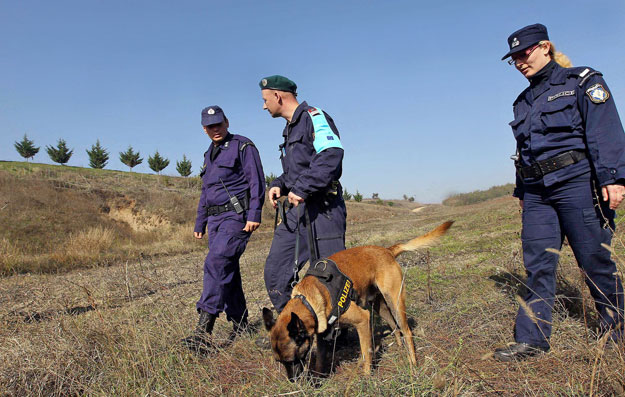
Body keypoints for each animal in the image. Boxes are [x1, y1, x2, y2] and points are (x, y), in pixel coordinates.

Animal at [260, 221, 450, 378]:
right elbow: (321, 359)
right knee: (395, 327)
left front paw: (366, 377)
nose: (293, 381)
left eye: (292, 359)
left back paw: (413, 362)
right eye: (280, 362)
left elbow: (366, 351)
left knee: (407, 331)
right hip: (380, 305)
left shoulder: (363, 320)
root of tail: (387, 250)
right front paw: (318, 379)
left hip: (394, 301)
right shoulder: (322, 335)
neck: (309, 299)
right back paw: (399, 347)